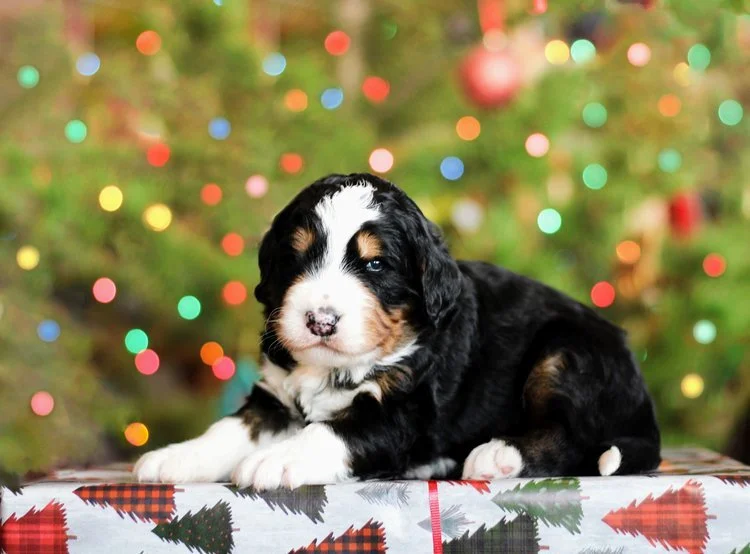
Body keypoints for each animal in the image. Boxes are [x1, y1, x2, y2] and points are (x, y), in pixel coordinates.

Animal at [134, 173, 661, 488]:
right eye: (295, 257)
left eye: (375, 264)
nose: (319, 321)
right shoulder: (275, 396)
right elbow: (230, 428)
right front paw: (174, 457)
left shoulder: (404, 410)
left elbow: (331, 431)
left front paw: (277, 461)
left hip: (566, 354)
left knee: (572, 435)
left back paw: (498, 454)